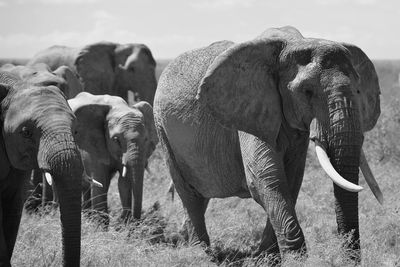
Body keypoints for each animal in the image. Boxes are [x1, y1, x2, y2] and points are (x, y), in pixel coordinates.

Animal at [69, 92, 158, 224]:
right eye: (116, 140)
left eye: (146, 139)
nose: (135, 221)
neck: (119, 107)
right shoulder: (90, 143)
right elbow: (100, 179)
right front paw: (100, 226)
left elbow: (124, 182)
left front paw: (124, 224)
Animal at [153, 26, 382, 262]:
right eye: (307, 91)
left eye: (358, 91)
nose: (348, 256)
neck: (292, 45)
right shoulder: (250, 107)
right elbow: (267, 179)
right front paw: (296, 261)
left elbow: (291, 181)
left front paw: (266, 258)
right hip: (161, 128)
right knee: (188, 194)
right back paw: (202, 255)